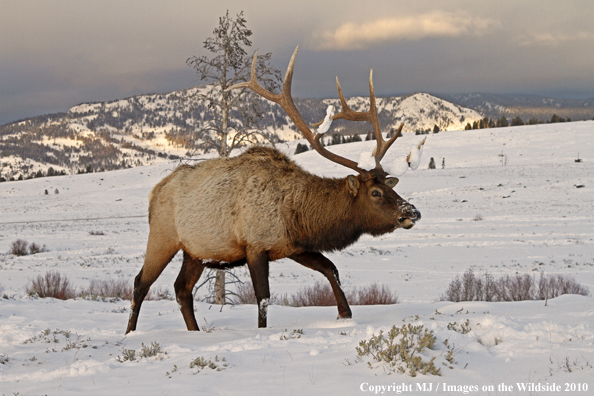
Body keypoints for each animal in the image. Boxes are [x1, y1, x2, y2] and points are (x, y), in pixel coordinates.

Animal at [125, 44, 420, 332]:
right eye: (375, 193)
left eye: (391, 187)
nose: (412, 212)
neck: (296, 214)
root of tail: (155, 192)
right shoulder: (255, 245)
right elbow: (263, 298)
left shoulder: (294, 246)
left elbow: (331, 269)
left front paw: (345, 314)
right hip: (163, 237)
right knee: (141, 282)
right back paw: (130, 332)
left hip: (196, 251)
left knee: (182, 289)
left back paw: (194, 333)